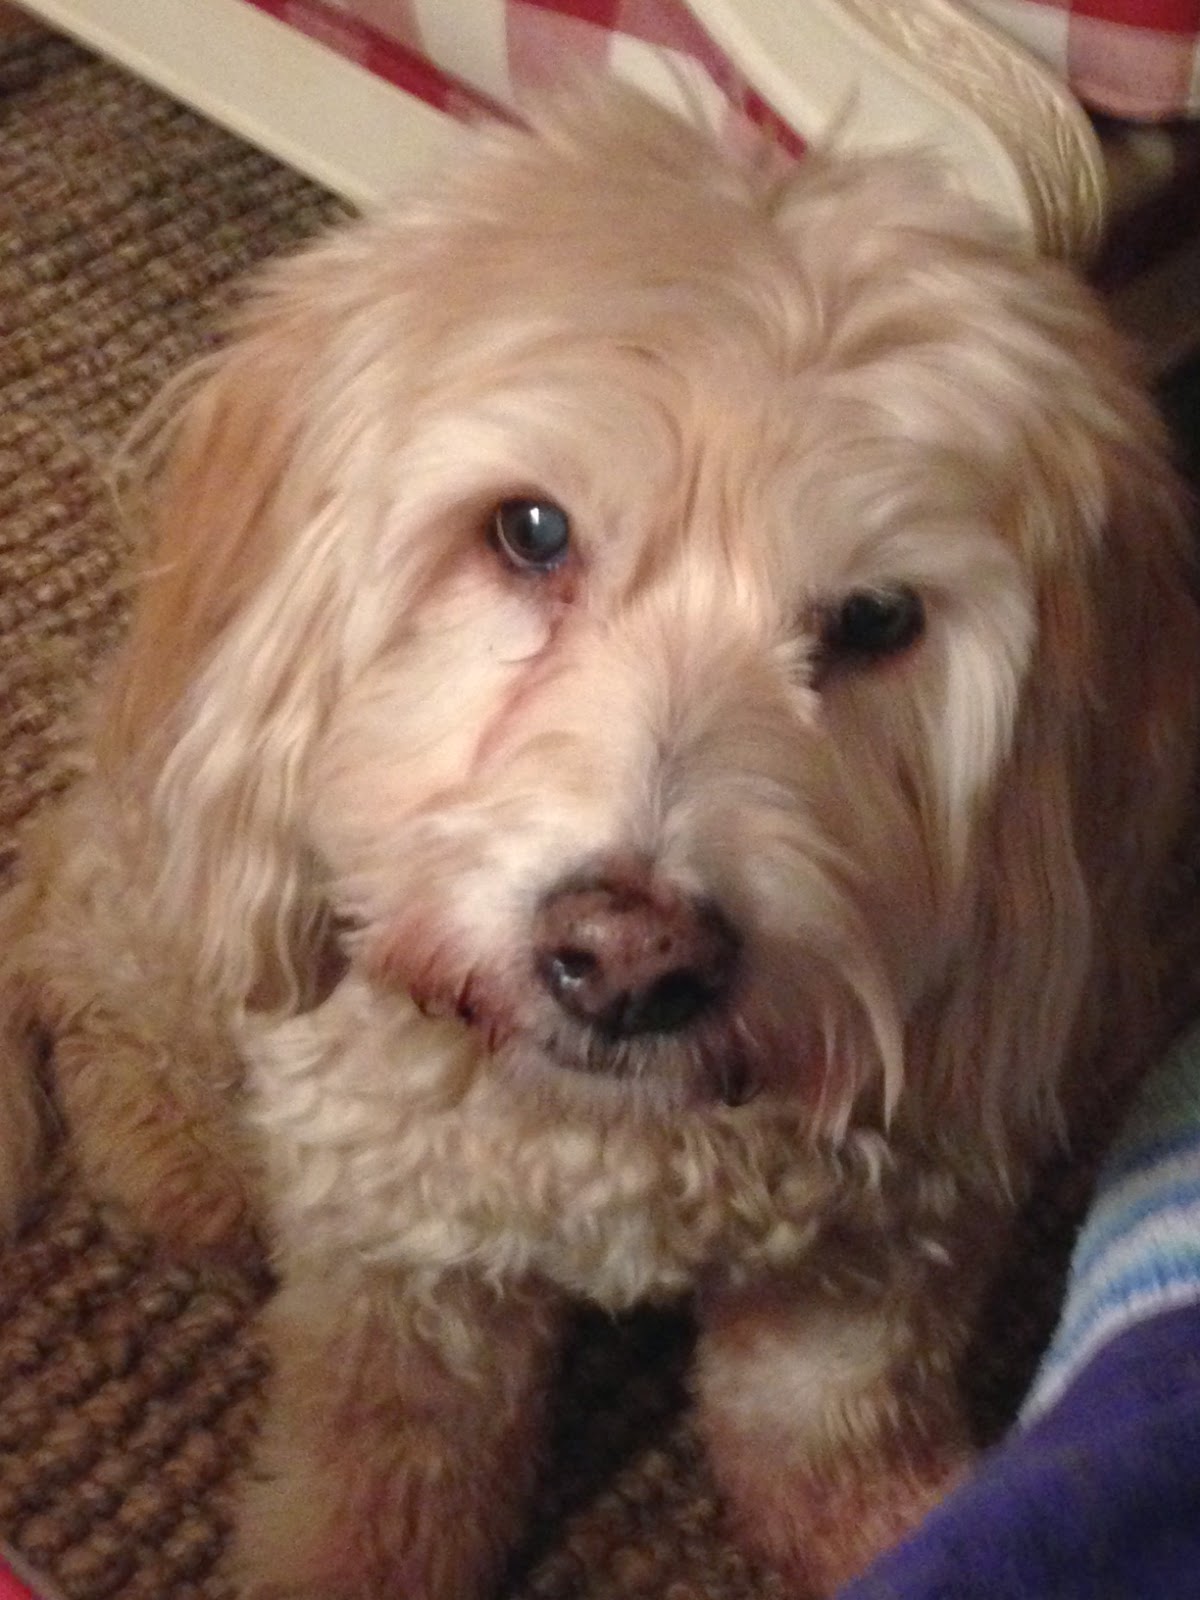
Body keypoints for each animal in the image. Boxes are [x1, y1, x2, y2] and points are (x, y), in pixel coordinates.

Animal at [2, 83, 1197, 1599]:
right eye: (529, 530)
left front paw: (914, 1527)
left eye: (878, 618)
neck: (616, 1135)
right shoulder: (405, 1263)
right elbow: (389, 1471)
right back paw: (179, 1149)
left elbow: (827, 1422)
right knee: (91, 951)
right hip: (169, 868)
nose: (634, 957)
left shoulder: (885, 1245)